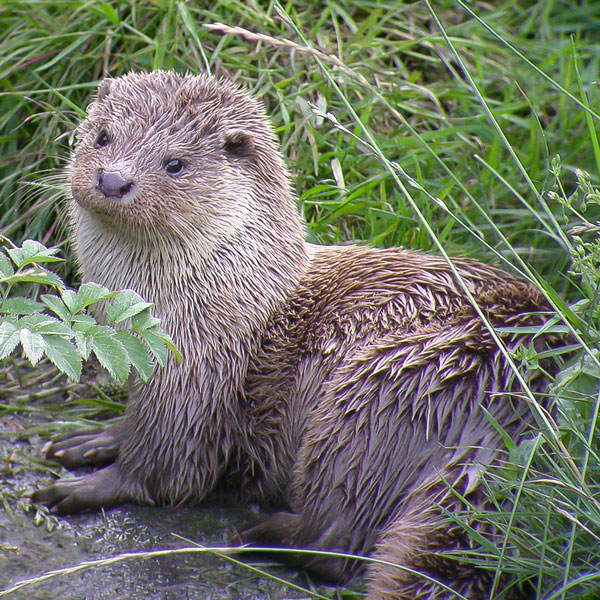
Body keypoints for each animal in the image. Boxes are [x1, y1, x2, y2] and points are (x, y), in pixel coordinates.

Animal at [32, 71, 556, 600]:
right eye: (102, 137)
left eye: (175, 164)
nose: (112, 180)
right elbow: (133, 427)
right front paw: (93, 440)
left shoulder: (197, 378)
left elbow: (166, 466)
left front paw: (90, 486)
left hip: (382, 393)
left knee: (337, 539)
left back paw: (255, 535)